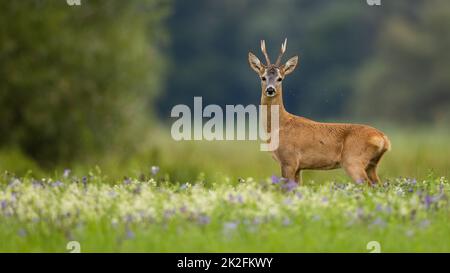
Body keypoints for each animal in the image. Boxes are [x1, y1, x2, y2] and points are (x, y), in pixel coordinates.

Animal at [248, 38, 392, 185]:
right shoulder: (299, 167)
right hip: (372, 165)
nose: (270, 89)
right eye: (263, 77)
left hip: (353, 161)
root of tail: (383, 138)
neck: (279, 126)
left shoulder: (289, 160)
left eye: (280, 78)